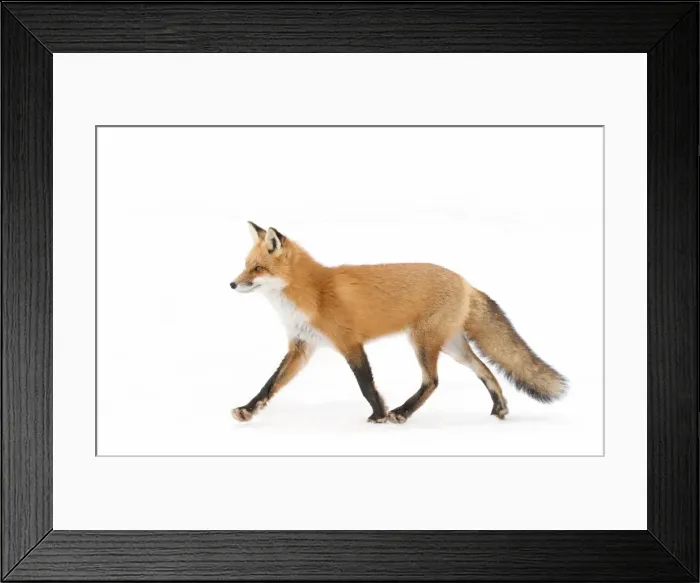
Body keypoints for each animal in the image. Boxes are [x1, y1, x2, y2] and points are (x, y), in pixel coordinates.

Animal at [230, 222, 567, 424]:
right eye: (245, 266)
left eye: (257, 269)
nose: (232, 284)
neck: (313, 292)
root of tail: (465, 282)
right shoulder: (301, 346)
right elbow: (270, 384)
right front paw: (248, 409)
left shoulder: (350, 343)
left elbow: (366, 385)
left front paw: (378, 414)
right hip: (452, 347)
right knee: (485, 370)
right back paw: (499, 408)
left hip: (422, 342)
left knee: (432, 381)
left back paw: (402, 413)